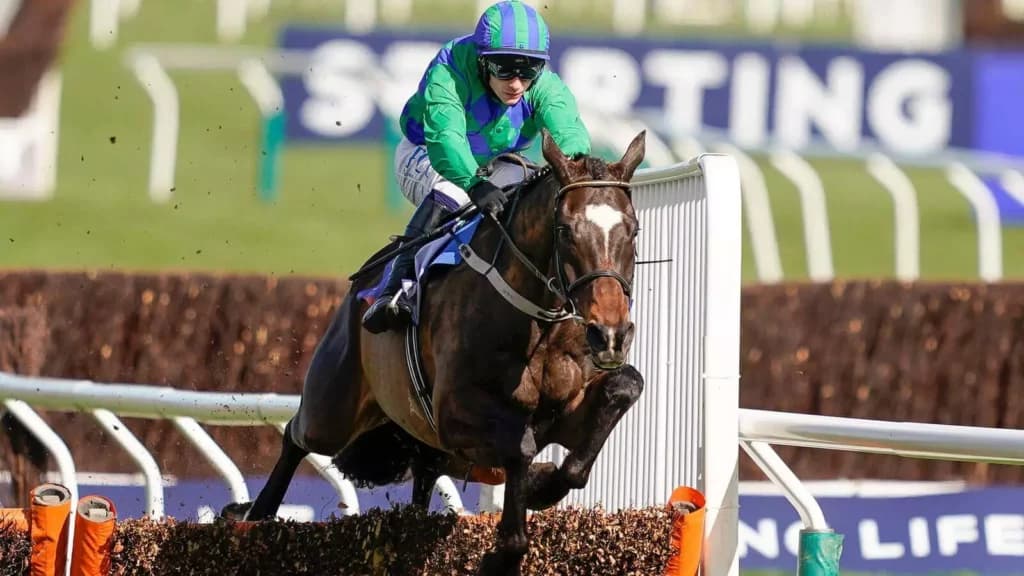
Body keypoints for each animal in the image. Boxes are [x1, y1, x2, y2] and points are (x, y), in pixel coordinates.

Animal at [228, 129, 648, 575]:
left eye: (633, 230)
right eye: (566, 231)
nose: (610, 333)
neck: (536, 321)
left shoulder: (561, 411)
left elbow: (623, 390)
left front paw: (541, 485)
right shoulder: (454, 414)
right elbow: (521, 445)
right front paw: (505, 549)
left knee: (424, 474)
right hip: (334, 408)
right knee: (296, 434)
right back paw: (255, 515)